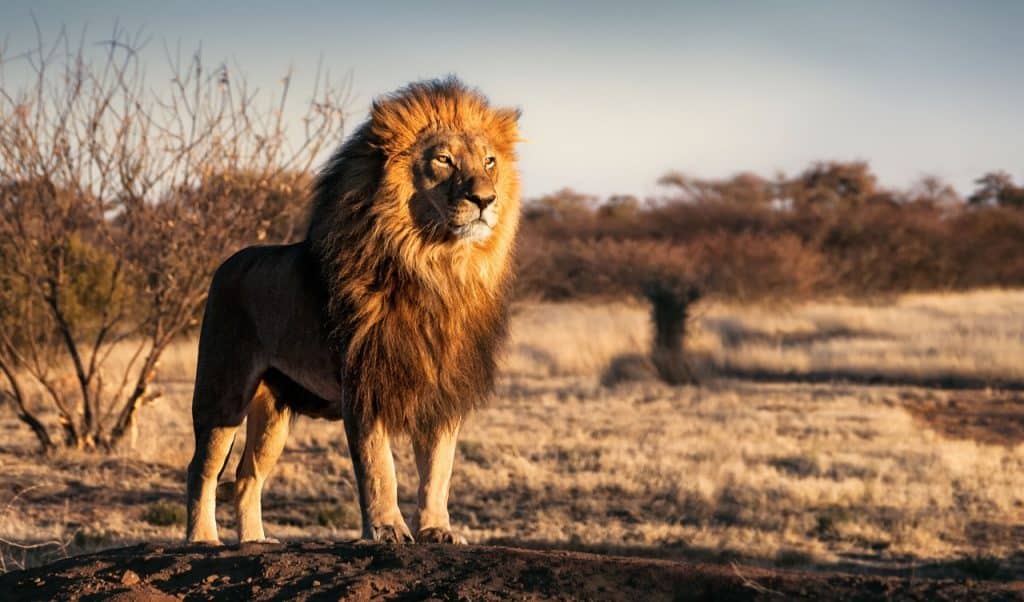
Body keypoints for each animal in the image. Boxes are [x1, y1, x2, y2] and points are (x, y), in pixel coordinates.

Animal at [184, 77, 520, 544]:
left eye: (490, 161)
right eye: (444, 159)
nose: (485, 198)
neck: (436, 268)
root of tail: (227, 262)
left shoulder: (442, 390)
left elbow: (438, 470)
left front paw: (437, 529)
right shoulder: (363, 383)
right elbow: (380, 468)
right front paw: (387, 529)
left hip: (273, 412)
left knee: (247, 476)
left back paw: (254, 542)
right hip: (223, 392)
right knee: (202, 469)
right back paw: (202, 539)